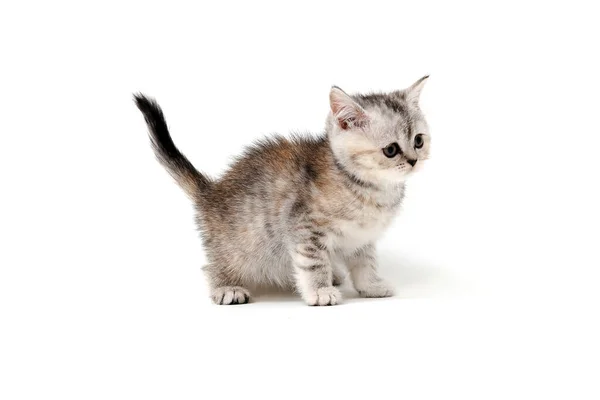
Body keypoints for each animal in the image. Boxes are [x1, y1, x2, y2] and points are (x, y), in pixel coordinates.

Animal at [134, 76, 428, 306]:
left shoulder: (361, 237)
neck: (368, 187)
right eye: (391, 150)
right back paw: (226, 286)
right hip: (241, 245)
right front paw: (320, 291)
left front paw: (370, 286)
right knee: (211, 265)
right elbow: (313, 262)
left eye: (419, 141)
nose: (414, 160)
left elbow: (365, 263)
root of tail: (211, 192)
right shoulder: (303, 227)